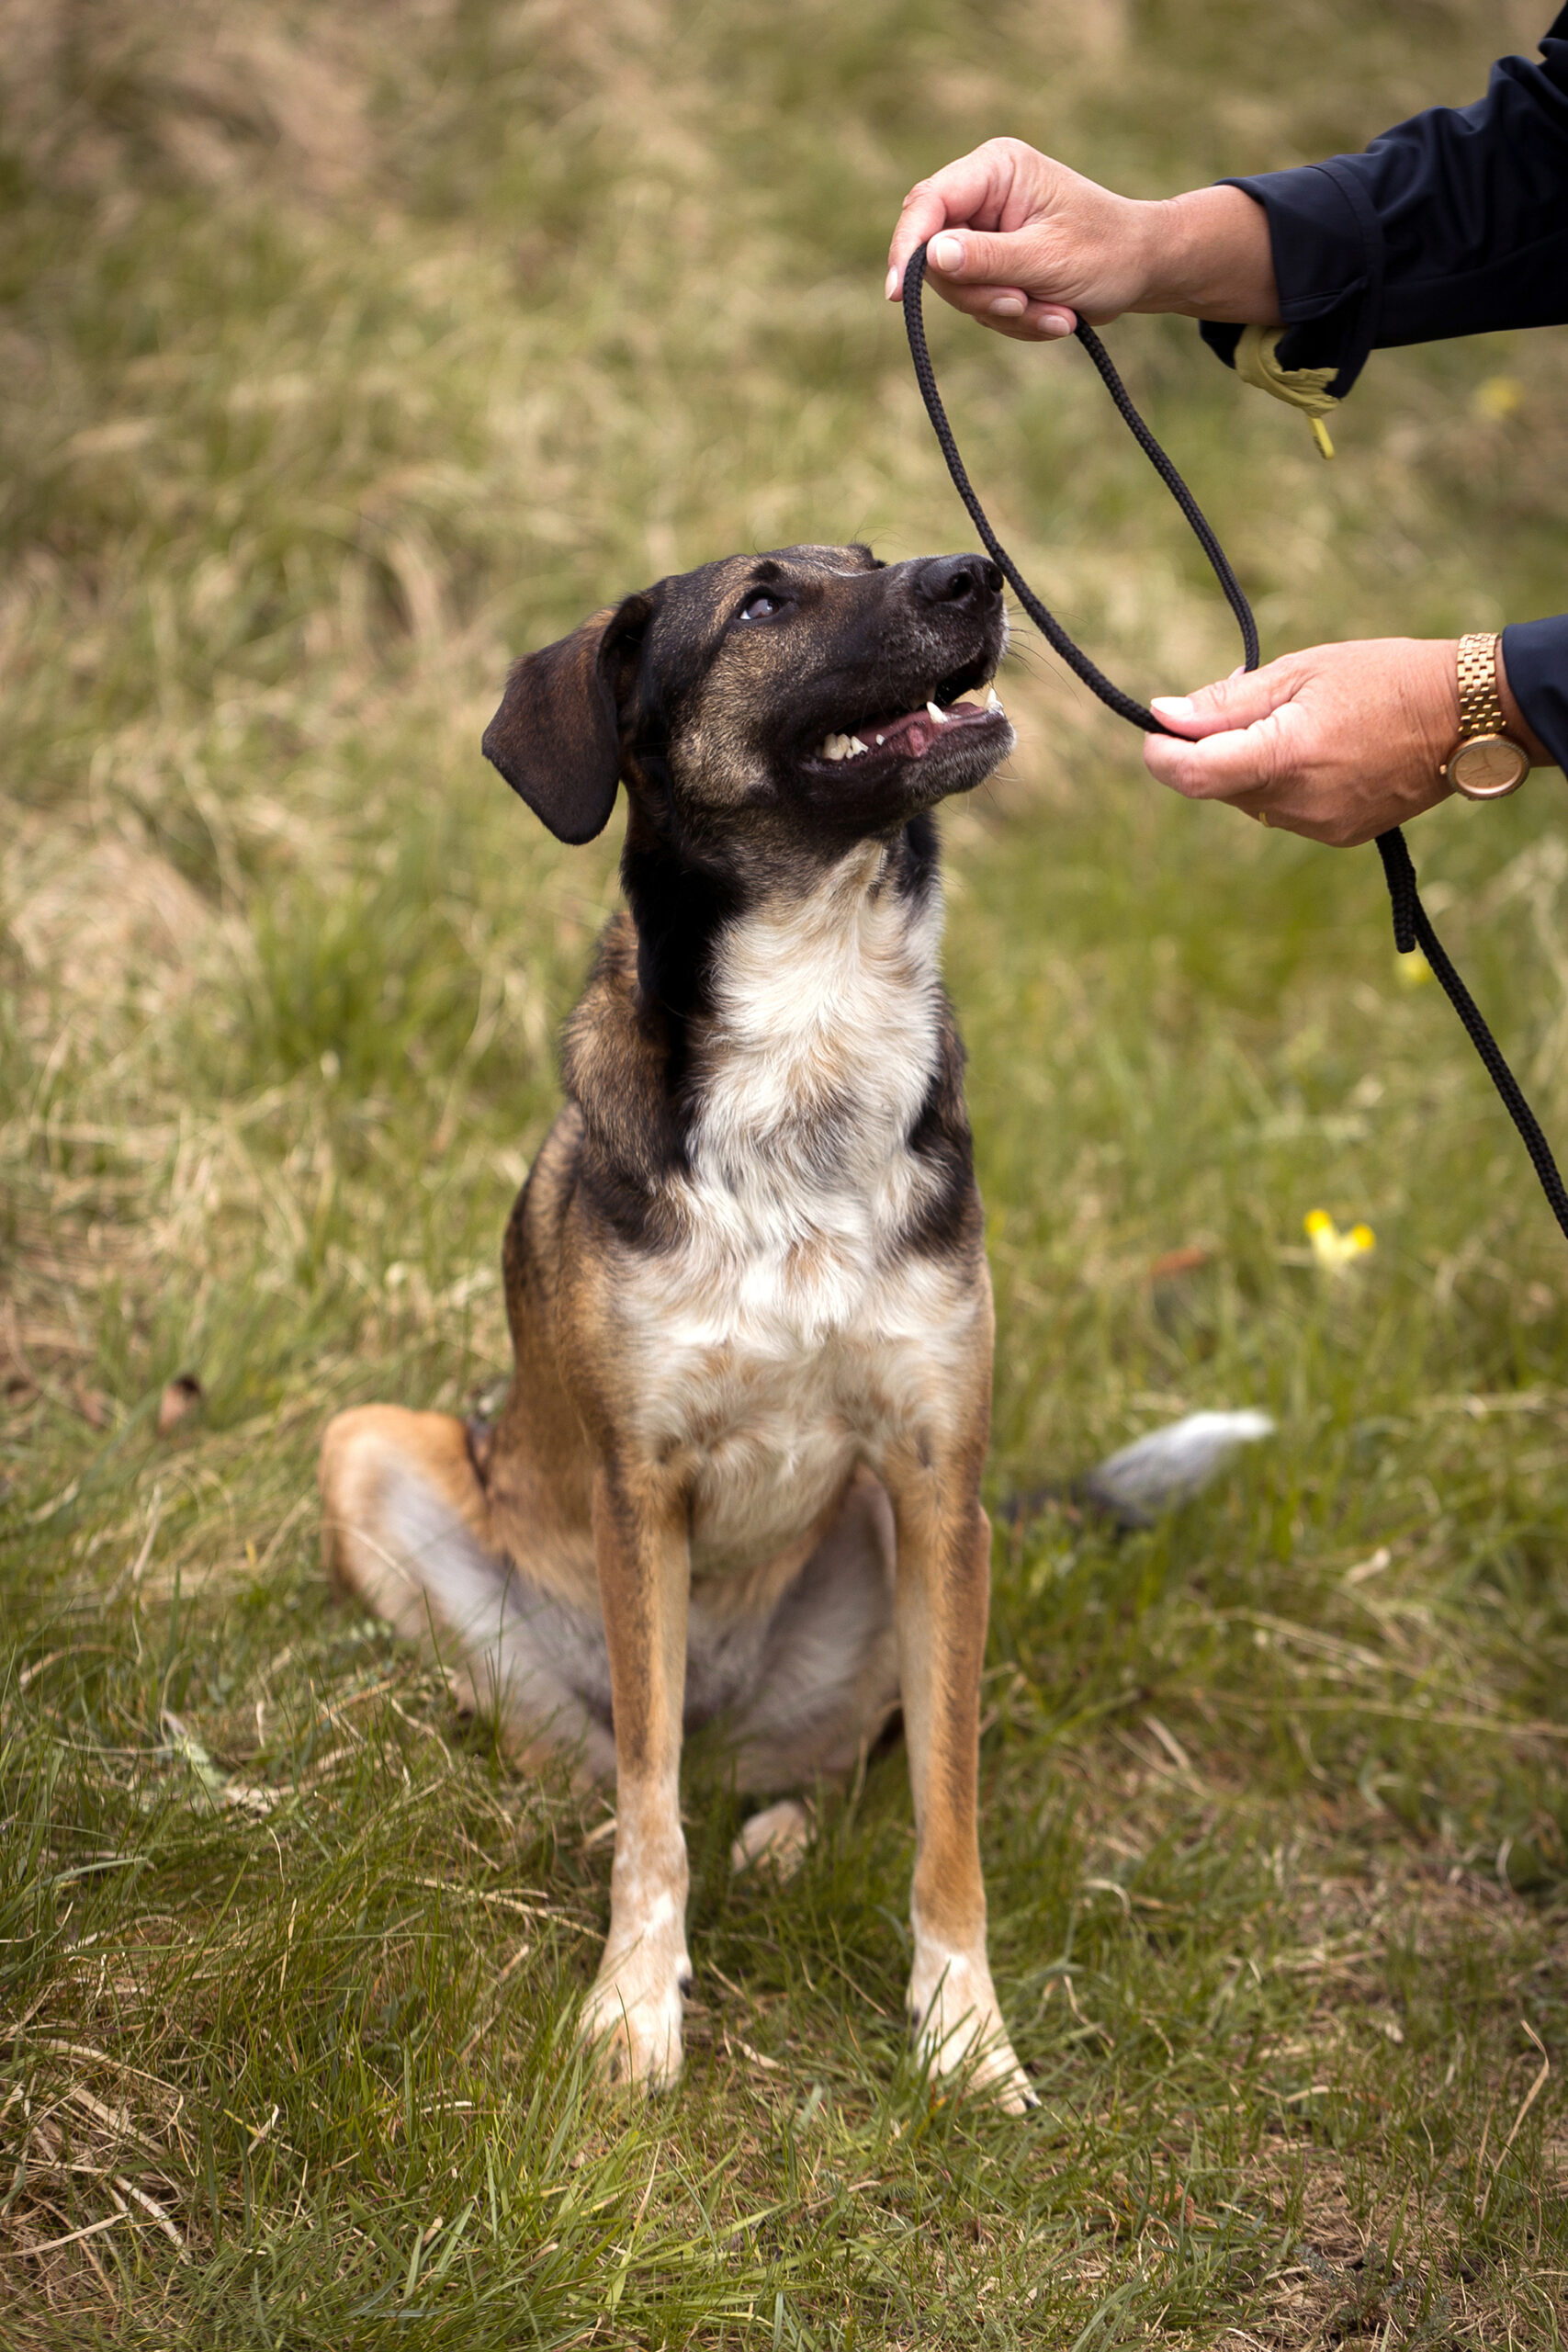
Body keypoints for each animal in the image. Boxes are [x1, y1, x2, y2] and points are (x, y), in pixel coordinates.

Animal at [320, 540, 1034, 2107]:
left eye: (877, 553)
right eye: (762, 602)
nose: (974, 570)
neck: (815, 1026)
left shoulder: (937, 1474)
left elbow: (947, 1814)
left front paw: (964, 2036)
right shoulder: (635, 1481)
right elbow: (650, 1826)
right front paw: (632, 2012)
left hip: (893, 1542)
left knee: (798, 1773)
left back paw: (774, 1839)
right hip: (374, 1458)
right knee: (609, 1765)